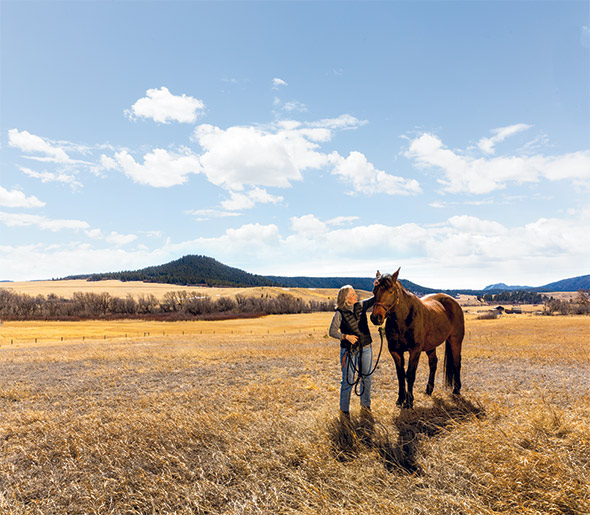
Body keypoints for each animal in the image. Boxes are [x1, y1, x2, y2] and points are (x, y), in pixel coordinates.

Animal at [370, 268, 468, 410]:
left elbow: (410, 375)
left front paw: (409, 402)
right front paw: (400, 400)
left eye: (391, 291)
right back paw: (429, 390)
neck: (404, 320)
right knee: (433, 363)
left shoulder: (415, 351)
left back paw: (456, 390)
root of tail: (453, 302)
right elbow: (400, 375)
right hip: (431, 345)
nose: (375, 318)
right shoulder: (395, 351)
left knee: (456, 363)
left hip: (455, 340)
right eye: (374, 291)